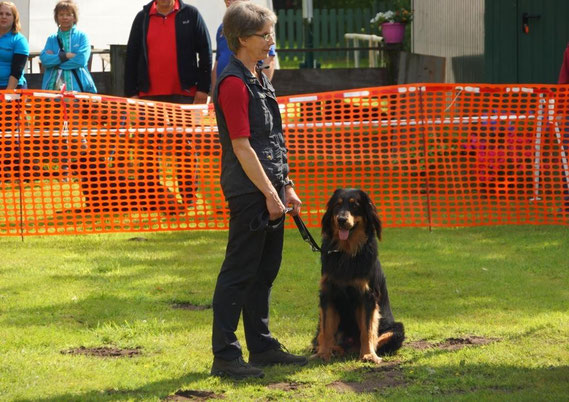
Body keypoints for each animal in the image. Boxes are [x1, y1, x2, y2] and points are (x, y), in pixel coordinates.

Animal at [310, 188, 404, 364]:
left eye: (355, 205)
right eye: (337, 205)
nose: (341, 220)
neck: (346, 252)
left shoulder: (368, 295)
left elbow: (367, 330)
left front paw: (368, 355)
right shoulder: (328, 293)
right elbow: (327, 329)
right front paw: (323, 353)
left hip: (397, 329)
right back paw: (333, 349)